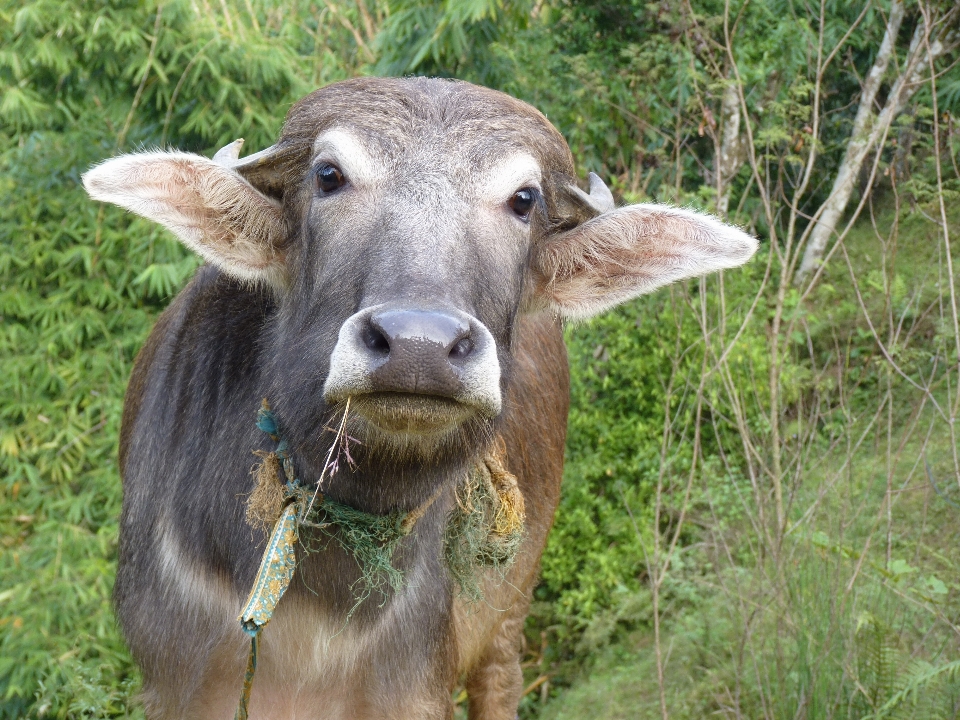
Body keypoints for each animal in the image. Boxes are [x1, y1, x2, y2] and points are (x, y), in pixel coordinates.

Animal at [84, 76, 756, 716]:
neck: (316, 613)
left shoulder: (413, 686)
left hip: (511, 608)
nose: (419, 344)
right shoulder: (173, 682)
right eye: (328, 175)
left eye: (524, 199)